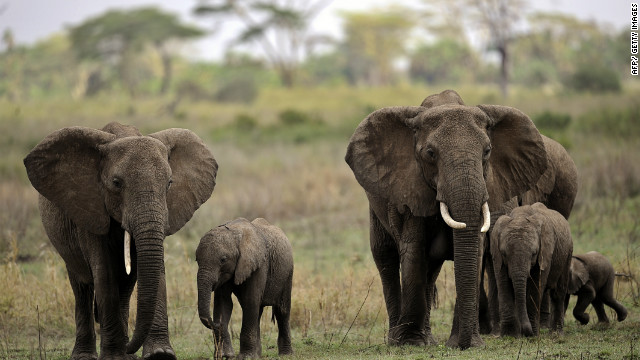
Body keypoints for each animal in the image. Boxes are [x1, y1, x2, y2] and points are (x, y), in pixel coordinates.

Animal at [23, 121, 218, 360]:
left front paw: (159, 354)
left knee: (124, 286)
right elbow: (104, 274)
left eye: (170, 184)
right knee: (81, 287)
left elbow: (156, 270)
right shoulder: (91, 209)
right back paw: (88, 355)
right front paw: (115, 356)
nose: (130, 348)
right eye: (116, 183)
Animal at [196, 218, 294, 358]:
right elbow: (223, 303)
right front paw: (226, 356)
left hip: (287, 273)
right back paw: (258, 355)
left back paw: (286, 355)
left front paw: (246, 357)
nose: (217, 324)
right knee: (258, 312)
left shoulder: (259, 264)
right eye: (196, 259)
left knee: (282, 310)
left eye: (223, 259)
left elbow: (250, 300)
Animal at [344, 89, 552, 348]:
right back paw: (397, 339)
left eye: (487, 152)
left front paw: (467, 343)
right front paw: (411, 343)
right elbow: (413, 250)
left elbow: (474, 250)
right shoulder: (410, 188)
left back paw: (429, 340)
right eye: (430, 154)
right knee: (385, 255)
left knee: (431, 269)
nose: (462, 345)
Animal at [490, 202, 576, 338]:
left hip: (567, 253)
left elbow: (534, 287)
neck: (520, 216)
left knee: (558, 292)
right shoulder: (497, 255)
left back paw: (556, 334)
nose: (526, 332)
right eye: (504, 253)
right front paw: (509, 336)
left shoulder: (544, 253)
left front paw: (532, 335)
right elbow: (503, 285)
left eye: (534, 253)